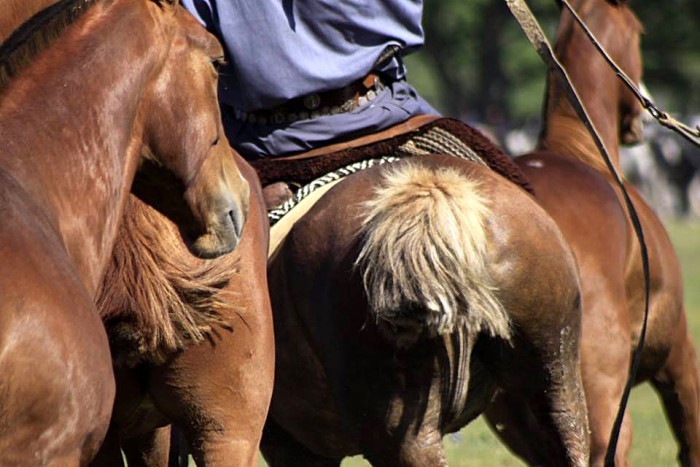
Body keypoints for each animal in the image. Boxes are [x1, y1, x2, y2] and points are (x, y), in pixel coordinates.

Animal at [486, 0, 700, 466]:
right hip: (602, 396)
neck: (582, 149)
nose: (641, 115)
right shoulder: (677, 349)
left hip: (518, 416)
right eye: (638, 31)